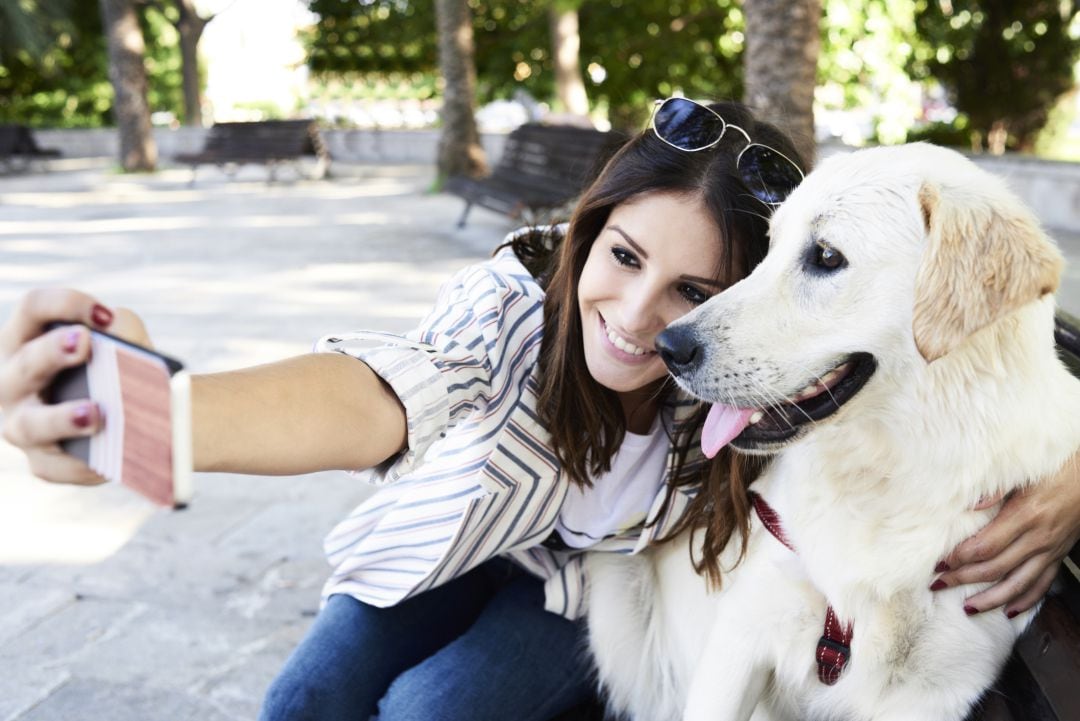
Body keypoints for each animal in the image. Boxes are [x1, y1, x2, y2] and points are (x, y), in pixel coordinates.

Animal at [587, 142, 1080, 721]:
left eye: (825, 256)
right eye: (770, 247)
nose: (669, 347)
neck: (892, 475)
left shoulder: (935, 690)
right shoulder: (744, 632)